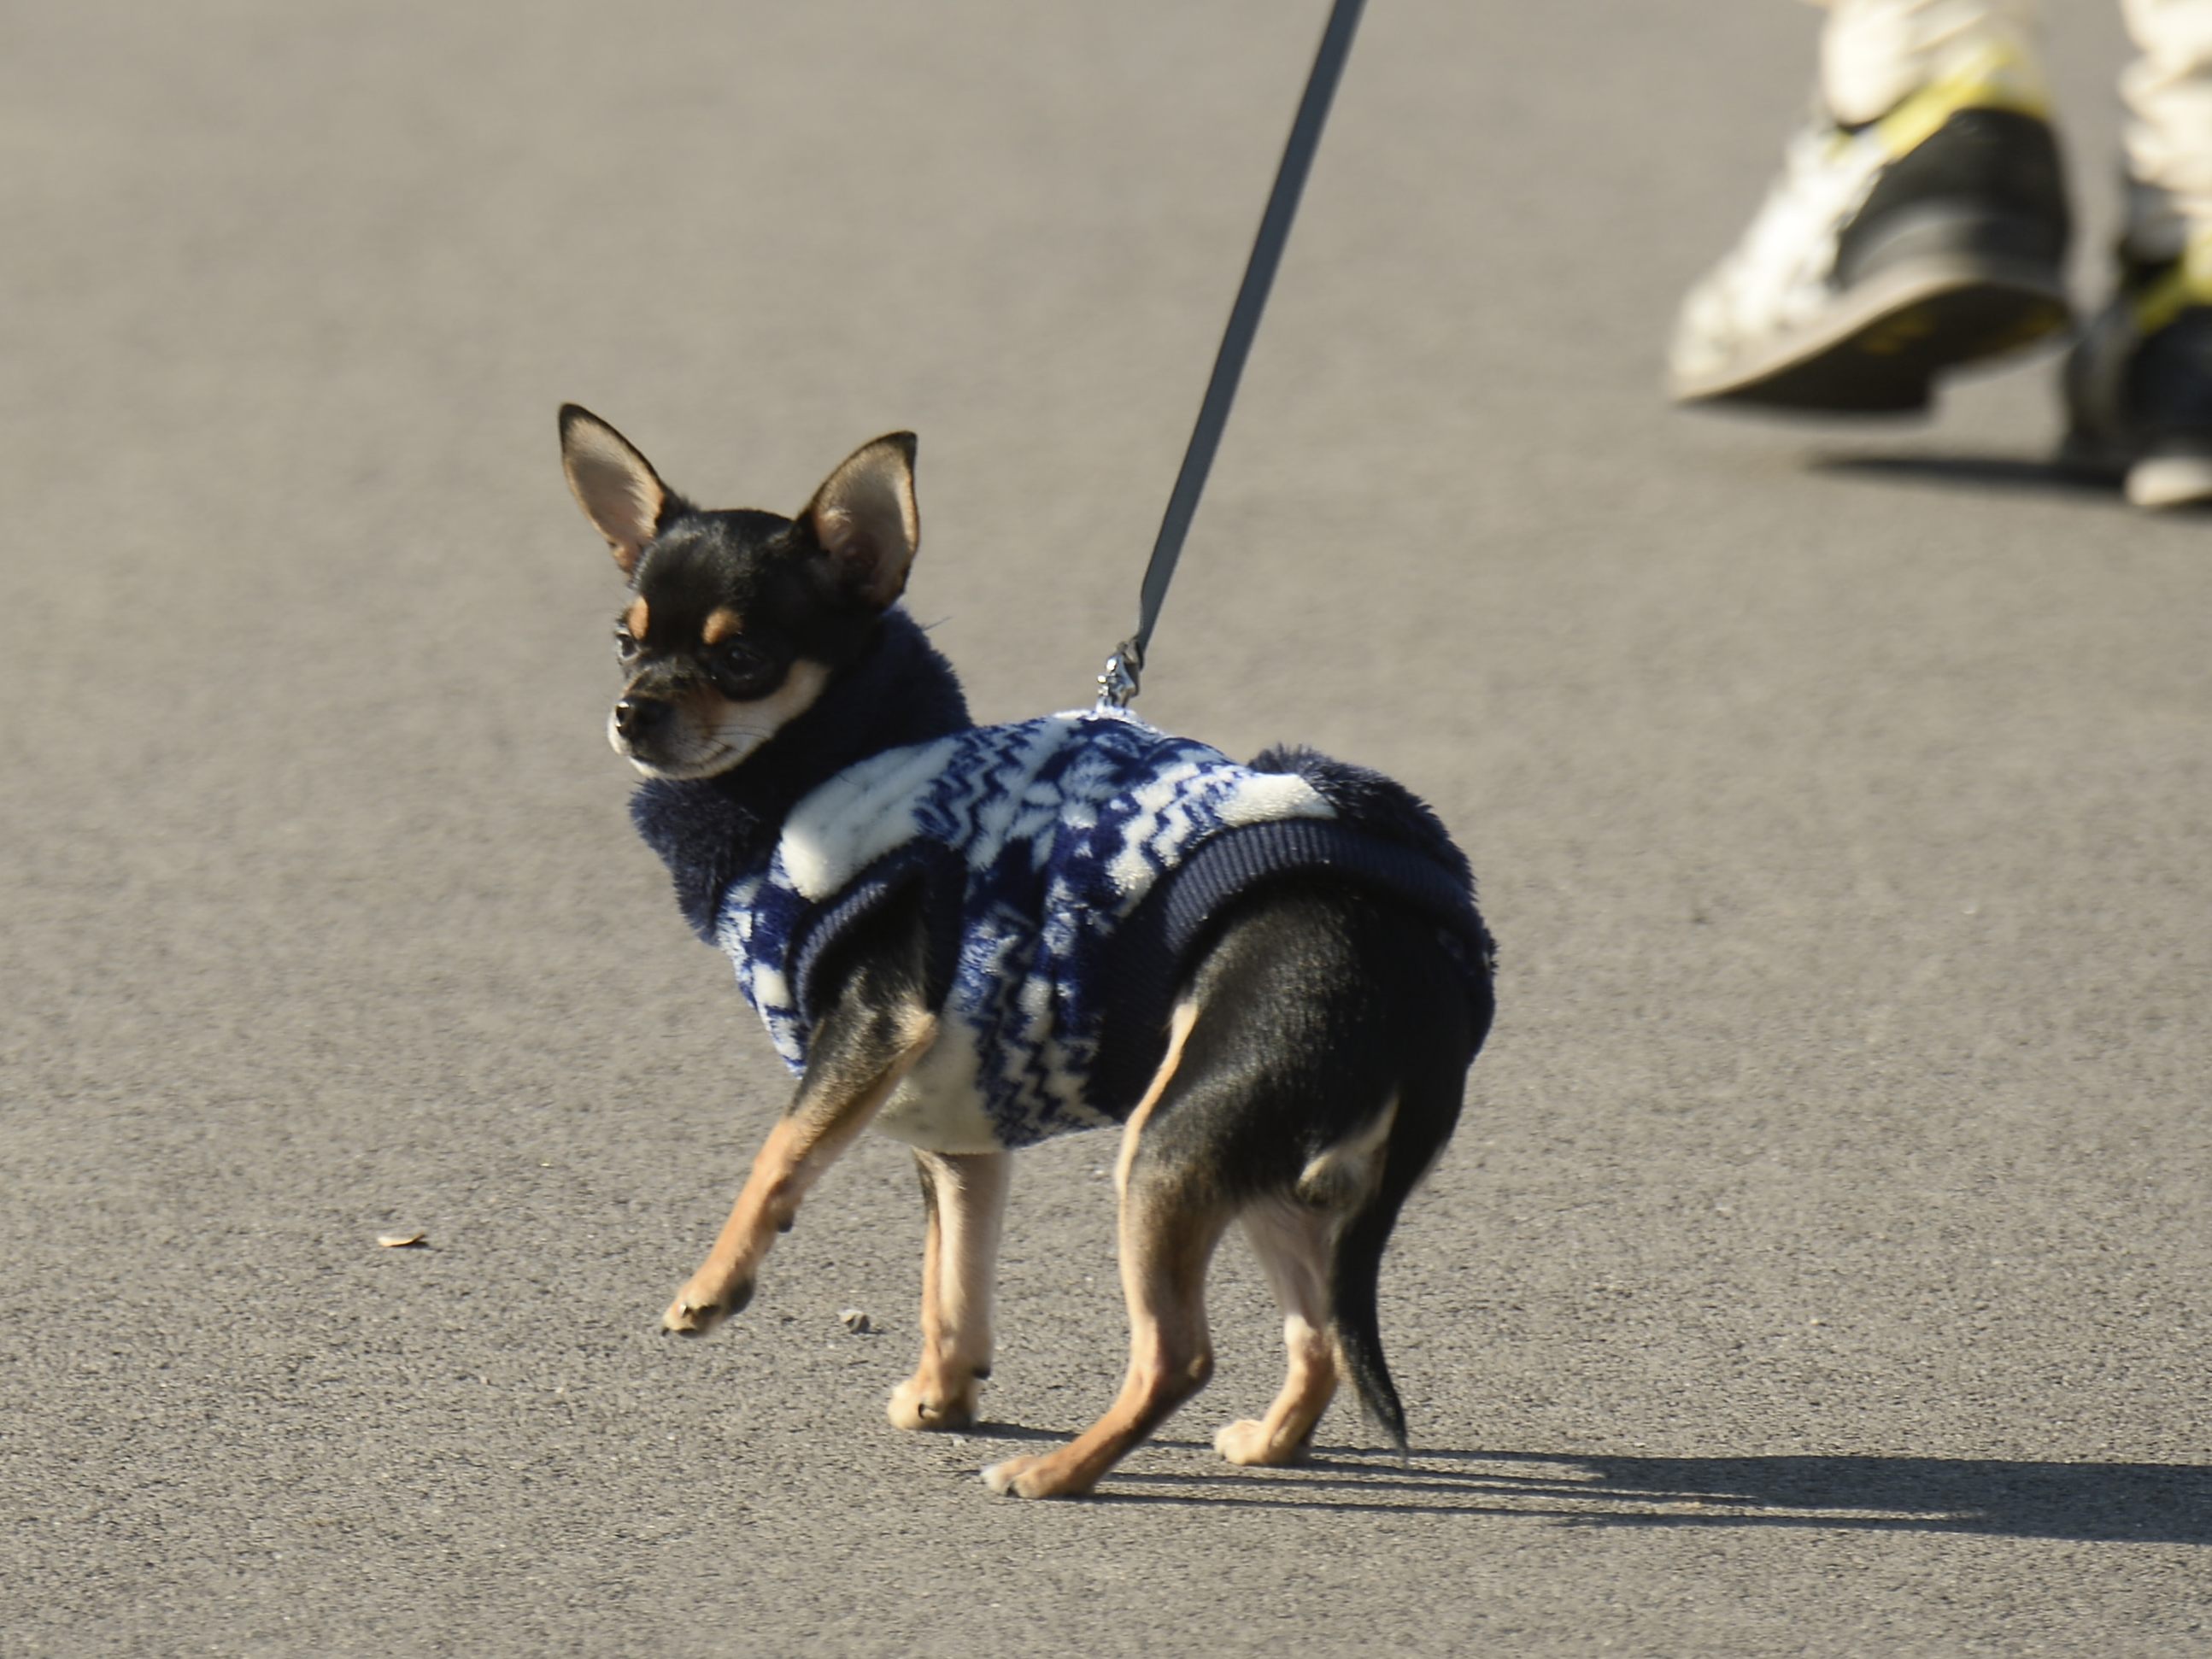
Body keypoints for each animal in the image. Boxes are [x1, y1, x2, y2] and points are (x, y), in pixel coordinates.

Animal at [561, 409, 1495, 1504]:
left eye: (741, 655)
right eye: (625, 643)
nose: (633, 710)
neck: (830, 766)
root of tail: (1425, 972)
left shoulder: (871, 1031)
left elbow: (779, 1153)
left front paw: (713, 1284)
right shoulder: (957, 1128)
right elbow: (951, 1275)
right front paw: (943, 1392)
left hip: (1174, 1141)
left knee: (1180, 1353)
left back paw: (1058, 1471)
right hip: (1259, 1163)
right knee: (1318, 1336)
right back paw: (1267, 1441)